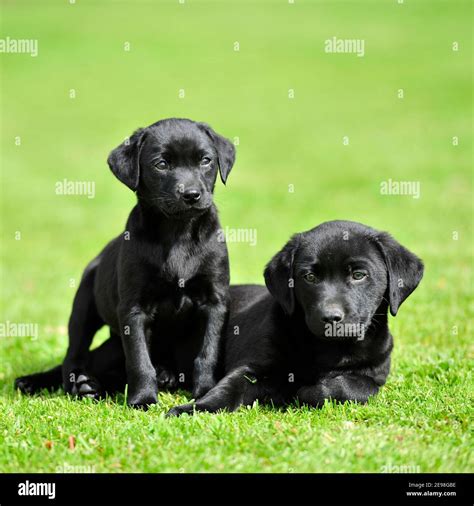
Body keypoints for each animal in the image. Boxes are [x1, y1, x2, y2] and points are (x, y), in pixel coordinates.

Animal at [14, 117, 237, 408]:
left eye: (206, 161)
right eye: (161, 164)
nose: (191, 194)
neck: (177, 232)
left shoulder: (214, 301)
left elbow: (207, 353)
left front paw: (205, 392)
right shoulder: (133, 308)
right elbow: (139, 359)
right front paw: (142, 399)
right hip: (84, 305)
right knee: (75, 353)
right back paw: (78, 384)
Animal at [168, 220, 424, 416]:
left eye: (359, 275)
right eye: (309, 277)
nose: (330, 317)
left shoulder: (372, 375)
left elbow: (348, 387)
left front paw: (304, 391)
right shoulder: (253, 366)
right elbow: (227, 388)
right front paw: (195, 408)